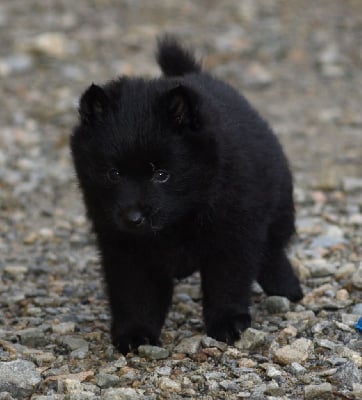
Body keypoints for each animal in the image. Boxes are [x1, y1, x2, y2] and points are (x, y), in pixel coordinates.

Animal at [70, 36, 302, 354]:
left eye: (161, 174)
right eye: (113, 174)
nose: (133, 218)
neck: (179, 220)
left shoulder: (233, 236)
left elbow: (227, 282)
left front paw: (227, 322)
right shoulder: (124, 247)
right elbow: (135, 293)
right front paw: (135, 333)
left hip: (278, 207)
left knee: (273, 250)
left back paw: (287, 288)